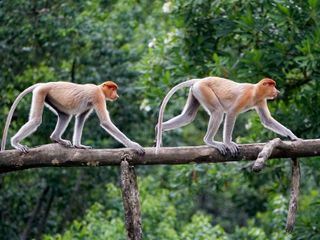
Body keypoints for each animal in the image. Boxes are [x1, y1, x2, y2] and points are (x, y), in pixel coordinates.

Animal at [0, 81, 145, 155]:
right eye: (113, 89)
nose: (116, 95)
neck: (99, 88)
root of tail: (44, 84)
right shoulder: (98, 96)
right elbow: (105, 122)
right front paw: (134, 146)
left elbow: (80, 118)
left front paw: (79, 145)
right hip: (41, 92)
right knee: (36, 120)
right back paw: (15, 143)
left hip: (50, 97)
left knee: (65, 115)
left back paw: (57, 138)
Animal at [156, 77, 298, 156]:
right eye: (272, 86)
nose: (277, 91)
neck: (255, 91)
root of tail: (200, 80)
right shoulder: (245, 96)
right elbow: (231, 113)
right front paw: (229, 144)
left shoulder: (260, 100)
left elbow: (267, 120)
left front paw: (292, 136)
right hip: (204, 90)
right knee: (218, 112)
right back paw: (210, 141)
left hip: (195, 91)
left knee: (188, 116)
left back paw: (159, 128)